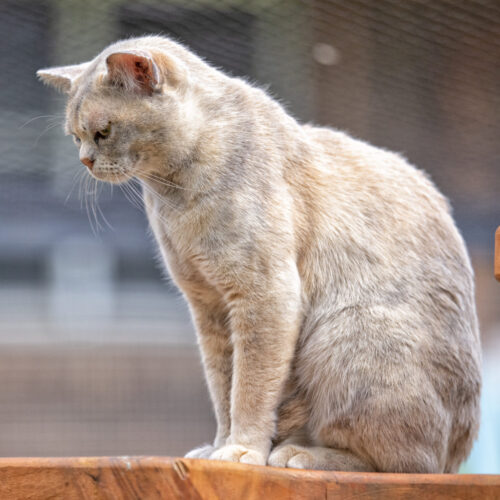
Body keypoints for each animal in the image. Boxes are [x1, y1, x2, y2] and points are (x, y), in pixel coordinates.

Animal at [37, 35, 482, 472]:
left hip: (352, 334)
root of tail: (458, 452)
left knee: (405, 462)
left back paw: (302, 454)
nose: (85, 160)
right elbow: (223, 388)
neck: (173, 196)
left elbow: (249, 387)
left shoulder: (265, 294)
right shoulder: (209, 308)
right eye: (74, 136)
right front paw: (220, 446)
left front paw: (242, 450)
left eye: (103, 132)